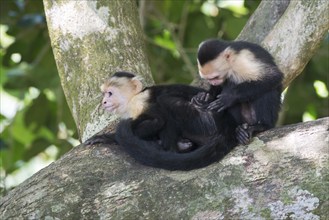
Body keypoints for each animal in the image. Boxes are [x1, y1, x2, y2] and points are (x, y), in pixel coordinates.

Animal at [85, 72, 238, 170]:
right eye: (104, 94)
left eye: (110, 93)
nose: (104, 102)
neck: (133, 99)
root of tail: (229, 125)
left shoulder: (139, 102)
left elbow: (158, 120)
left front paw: (109, 137)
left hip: (205, 120)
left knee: (166, 102)